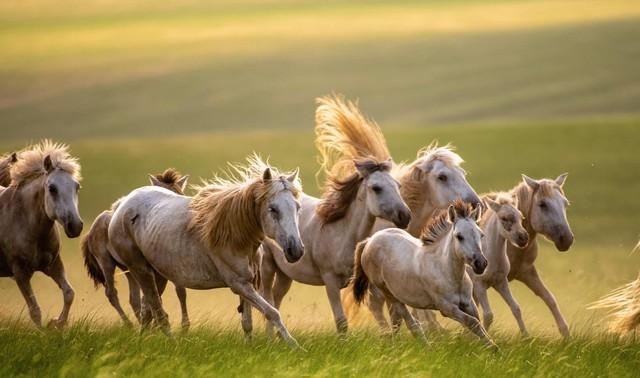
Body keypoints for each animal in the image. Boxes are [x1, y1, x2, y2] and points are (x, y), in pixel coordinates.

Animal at [0, 142, 83, 328]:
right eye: (52, 188)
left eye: (77, 187)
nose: (75, 226)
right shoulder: (20, 273)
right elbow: (35, 311)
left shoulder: (53, 264)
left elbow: (69, 293)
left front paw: (57, 323)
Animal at [260, 94, 410, 334]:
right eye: (376, 188)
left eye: (398, 185)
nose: (405, 216)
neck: (342, 234)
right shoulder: (330, 282)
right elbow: (341, 322)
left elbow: (387, 312)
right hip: (267, 265)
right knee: (267, 300)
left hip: (285, 272)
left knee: (276, 298)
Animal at [350, 201, 496, 348]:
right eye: (459, 236)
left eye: (481, 235)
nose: (481, 263)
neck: (447, 272)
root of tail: (369, 240)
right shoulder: (447, 308)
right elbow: (472, 322)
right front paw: (493, 348)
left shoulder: (468, 303)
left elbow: (477, 321)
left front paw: (490, 346)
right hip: (389, 293)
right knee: (410, 322)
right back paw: (426, 346)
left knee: (396, 320)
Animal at [470, 193, 528, 336]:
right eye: (504, 218)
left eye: (521, 217)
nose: (524, 238)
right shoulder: (479, 285)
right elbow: (488, 315)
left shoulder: (501, 283)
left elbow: (516, 308)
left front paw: (526, 336)